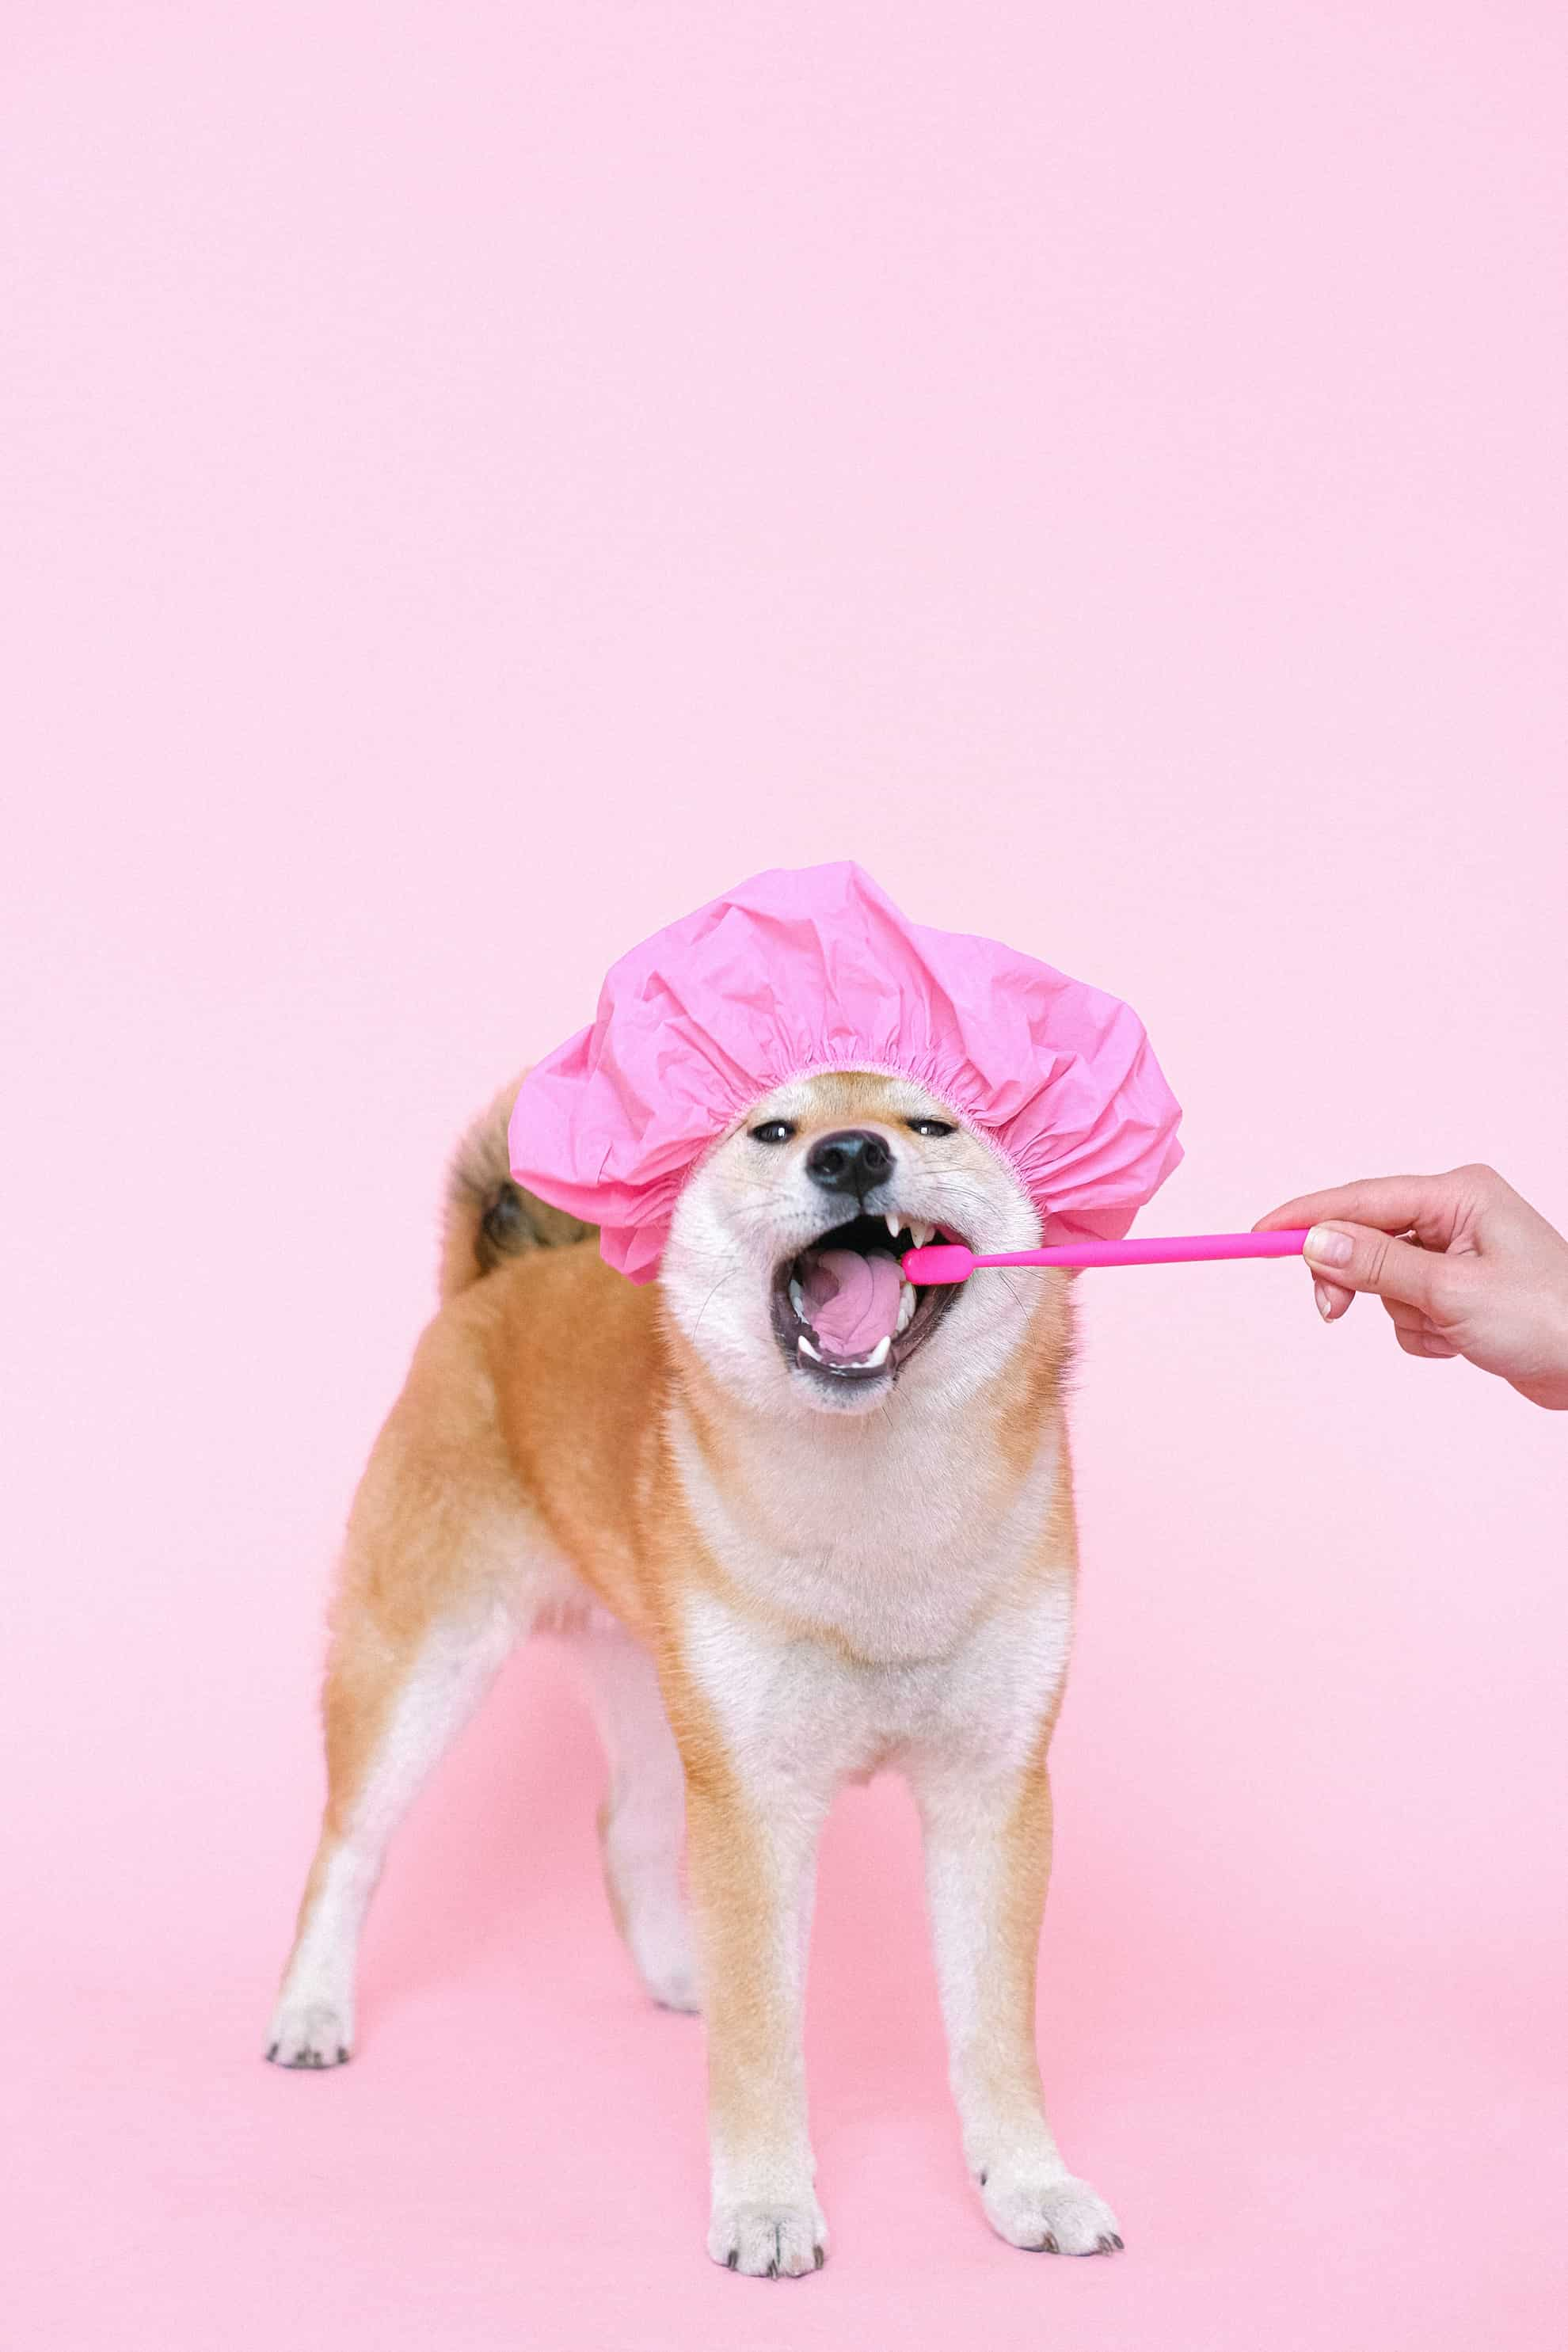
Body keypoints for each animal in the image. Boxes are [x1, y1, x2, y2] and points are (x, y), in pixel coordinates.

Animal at [272, 1072, 1128, 2276]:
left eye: (932, 1124)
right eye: (773, 1129)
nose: (851, 1154)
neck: (882, 1528)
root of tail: (497, 1284)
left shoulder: (992, 1793)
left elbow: (994, 2029)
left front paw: (1031, 2183)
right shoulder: (756, 1798)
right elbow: (763, 2032)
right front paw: (767, 2204)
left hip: (655, 1691)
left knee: (620, 1828)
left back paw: (681, 1973)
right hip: (425, 1663)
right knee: (349, 1845)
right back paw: (311, 2010)